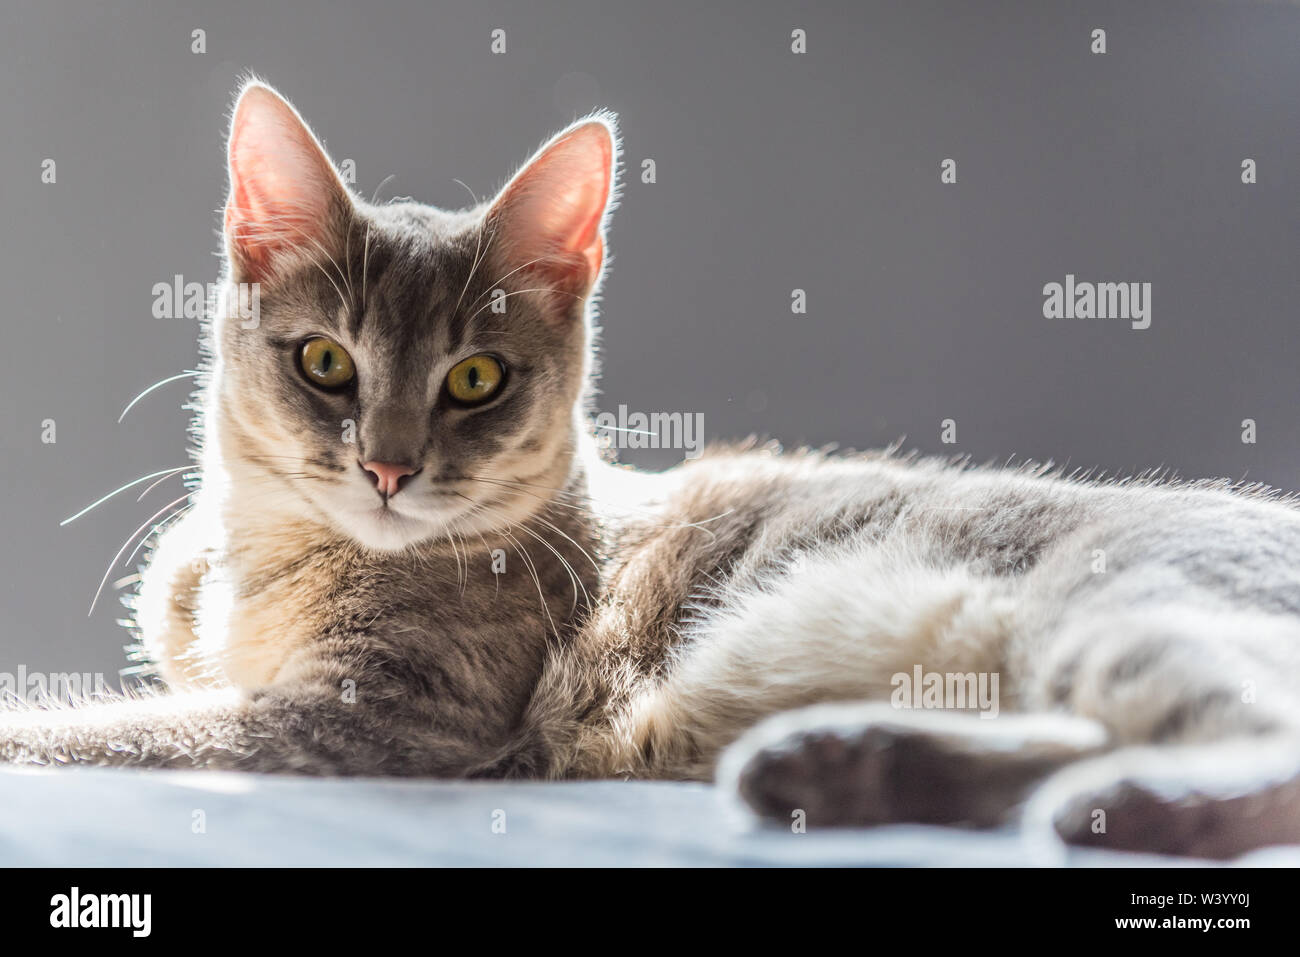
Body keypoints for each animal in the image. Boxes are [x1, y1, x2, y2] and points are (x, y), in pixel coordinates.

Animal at [2, 80, 1300, 858]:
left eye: (476, 379)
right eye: (325, 361)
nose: (387, 467)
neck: (261, 566)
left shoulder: (374, 718)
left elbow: (96, 731)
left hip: (1120, 607)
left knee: (1239, 740)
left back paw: (1130, 807)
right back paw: (843, 766)